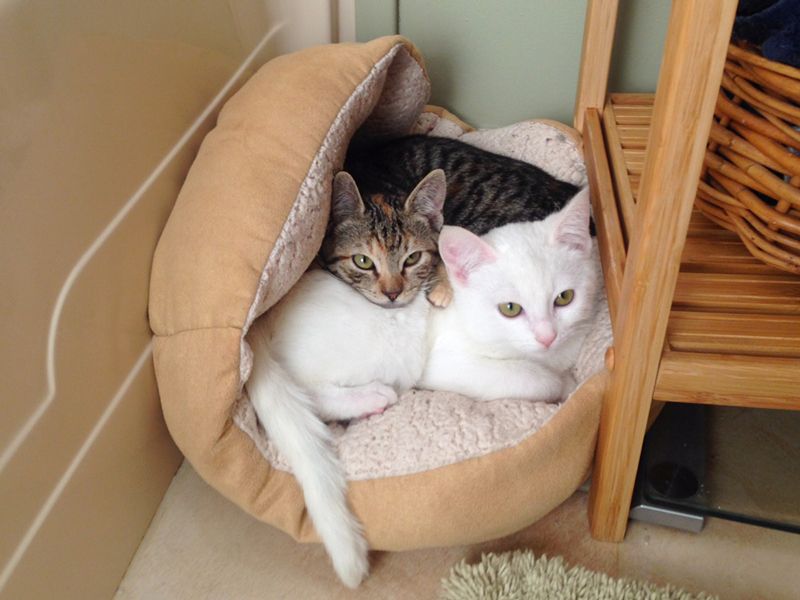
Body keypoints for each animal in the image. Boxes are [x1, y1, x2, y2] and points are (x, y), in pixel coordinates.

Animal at [418, 188, 600, 404]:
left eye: (564, 297)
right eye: (510, 308)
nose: (547, 337)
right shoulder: (440, 363)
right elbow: (531, 379)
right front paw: (565, 385)